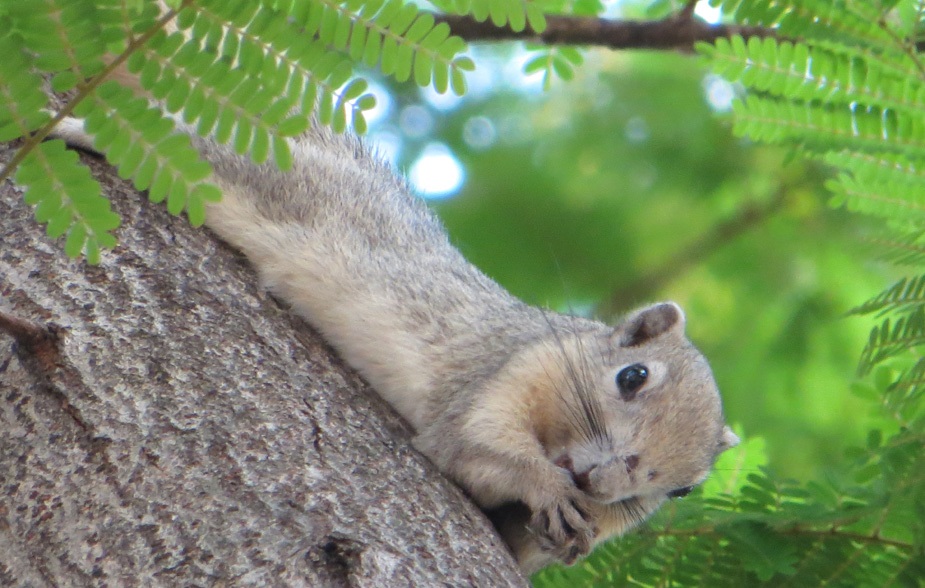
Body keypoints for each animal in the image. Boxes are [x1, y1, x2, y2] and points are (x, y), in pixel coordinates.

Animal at [54, 112, 740, 572]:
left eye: (682, 489)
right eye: (633, 376)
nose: (602, 482)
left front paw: (563, 527)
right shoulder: (508, 369)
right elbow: (475, 444)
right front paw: (543, 485)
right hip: (272, 183)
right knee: (190, 150)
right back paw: (73, 127)